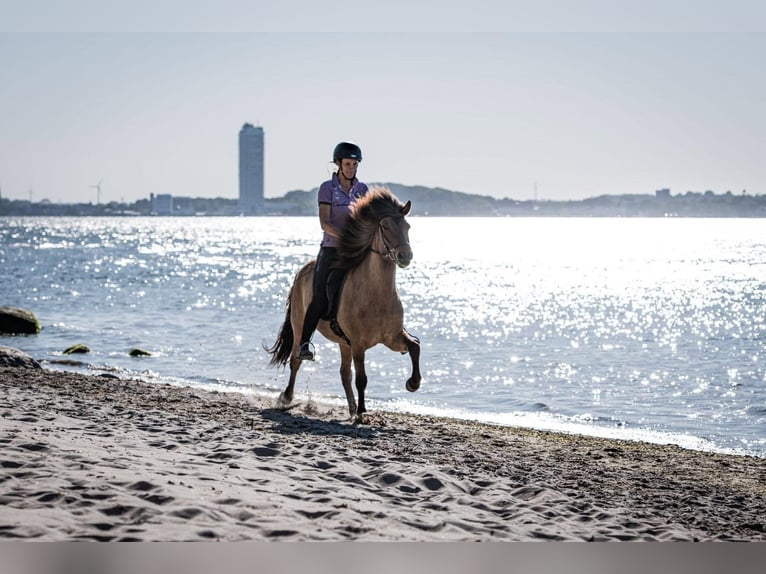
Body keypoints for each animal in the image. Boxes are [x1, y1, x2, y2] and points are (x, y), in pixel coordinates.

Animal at [268, 189, 424, 424]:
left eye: (407, 227)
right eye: (385, 226)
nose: (405, 256)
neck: (376, 294)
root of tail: (302, 271)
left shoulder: (392, 338)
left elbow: (414, 347)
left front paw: (412, 383)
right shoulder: (359, 343)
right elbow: (362, 378)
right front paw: (362, 412)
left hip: (344, 343)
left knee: (344, 374)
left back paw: (350, 409)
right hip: (300, 326)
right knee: (296, 359)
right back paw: (287, 397)